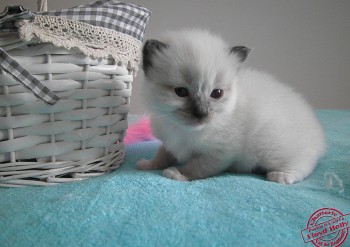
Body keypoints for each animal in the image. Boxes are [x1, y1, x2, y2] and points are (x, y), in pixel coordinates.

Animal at [136, 29, 326, 183]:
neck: (182, 129)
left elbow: (197, 167)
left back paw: (281, 176)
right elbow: (163, 153)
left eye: (216, 93)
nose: (202, 113)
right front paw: (149, 164)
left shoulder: (220, 153)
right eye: (181, 92)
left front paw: (178, 174)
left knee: (304, 163)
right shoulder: (169, 141)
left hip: (274, 149)